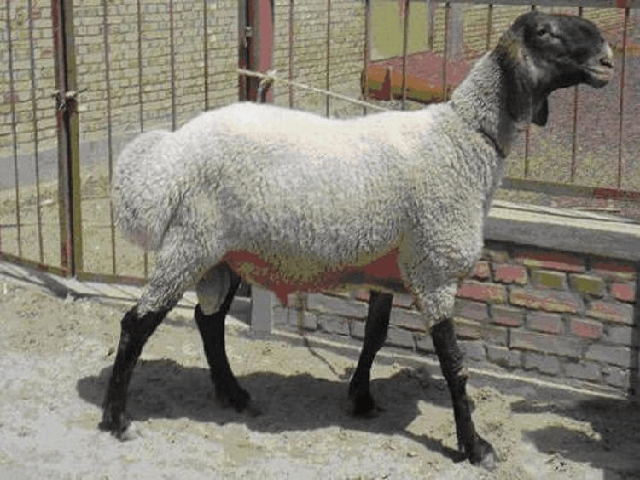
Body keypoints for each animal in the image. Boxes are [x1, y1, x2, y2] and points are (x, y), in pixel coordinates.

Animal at [101, 12, 613, 468]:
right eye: (545, 31)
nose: (608, 57)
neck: (462, 139)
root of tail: (169, 155)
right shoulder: (434, 269)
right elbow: (455, 364)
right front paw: (475, 447)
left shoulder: (389, 266)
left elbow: (375, 336)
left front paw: (361, 398)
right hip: (192, 244)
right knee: (136, 324)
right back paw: (117, 419)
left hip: (224, 255)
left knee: (208, 322)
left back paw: (235, 395)